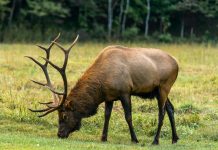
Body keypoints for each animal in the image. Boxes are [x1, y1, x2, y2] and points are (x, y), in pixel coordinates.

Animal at [26, 33, 179, 144]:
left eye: (64, 115)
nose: (60, 134)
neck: (101, 84)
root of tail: (176, 63)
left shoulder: (125, 91)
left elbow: (128, 116)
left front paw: (134, 139)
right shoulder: (109, 97)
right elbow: (107, 115)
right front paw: (103, 137)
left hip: (165, 86)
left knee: (162, 112)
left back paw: (155, 140)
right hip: (159, 90)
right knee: (170, 108)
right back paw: (175, 138)